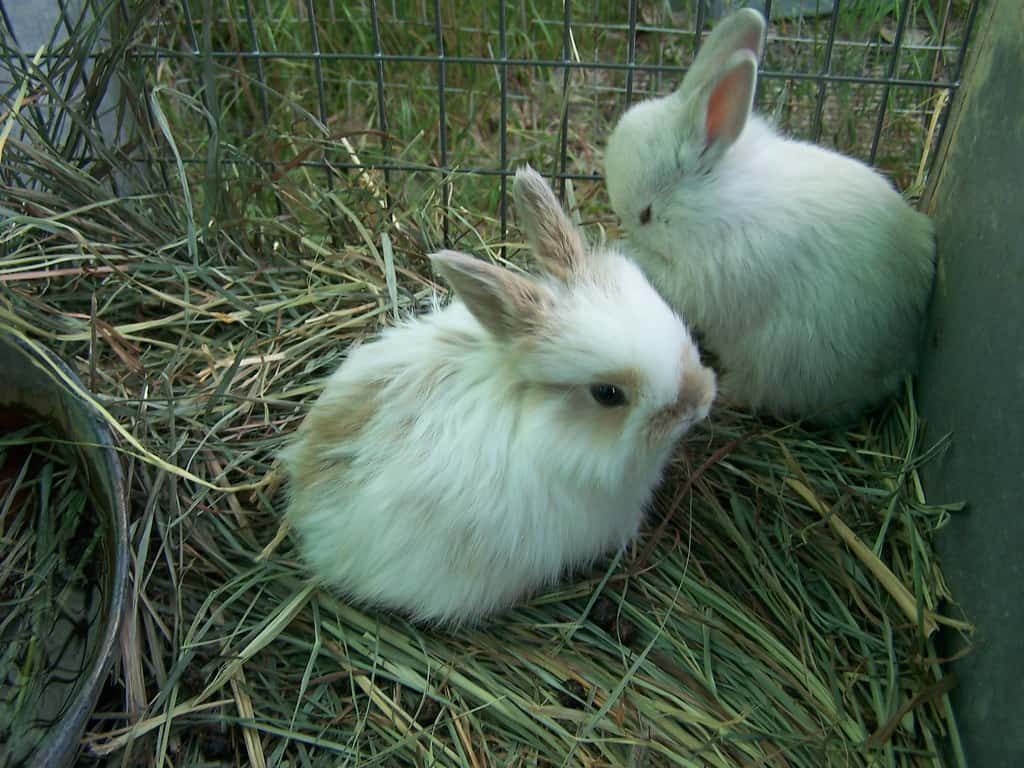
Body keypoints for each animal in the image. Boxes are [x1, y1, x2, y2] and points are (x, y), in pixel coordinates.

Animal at [603, 8, 935, 425]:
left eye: (646, 214)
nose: (622, 226)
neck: (708, 205)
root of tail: (902, 360)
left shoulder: (708, 274)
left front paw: (621, 248)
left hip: (778, 363)